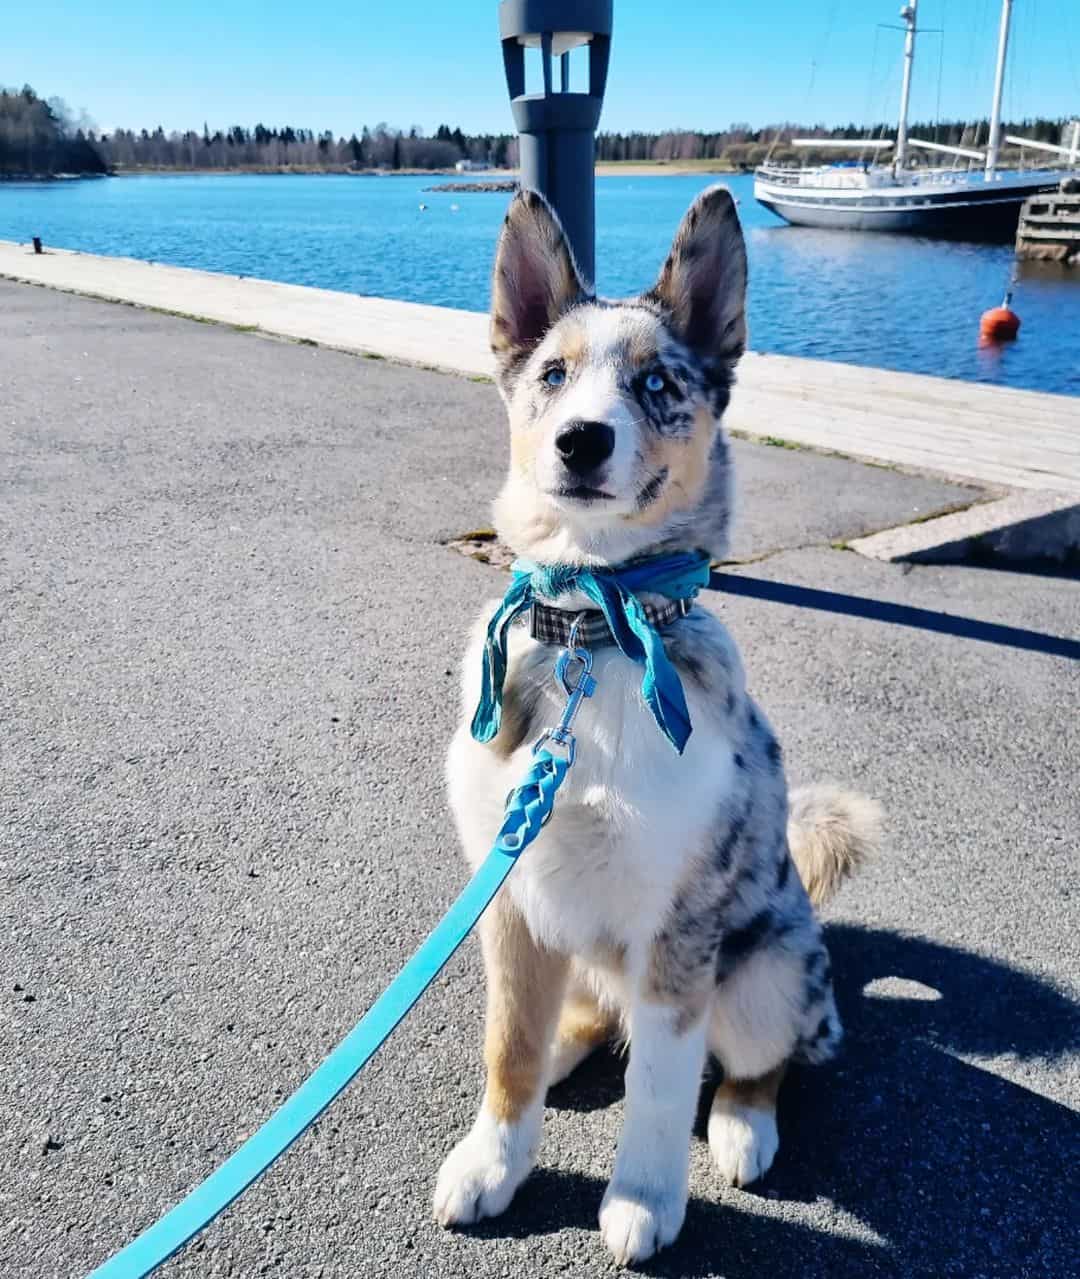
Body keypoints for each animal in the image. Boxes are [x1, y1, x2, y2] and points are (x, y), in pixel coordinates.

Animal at [435, 185, 880, 1263]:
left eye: (657, 383)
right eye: (553, 376)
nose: (580, 440)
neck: (593, 634)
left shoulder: (680, 936)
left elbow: (663, 1085)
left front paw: (643, 1195)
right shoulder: (509, 904)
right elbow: (507, 1045)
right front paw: (494, 1158)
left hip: (766, 975)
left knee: (761, 1059)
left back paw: (744, 1125)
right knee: (587, 1020)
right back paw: (570, 1048)